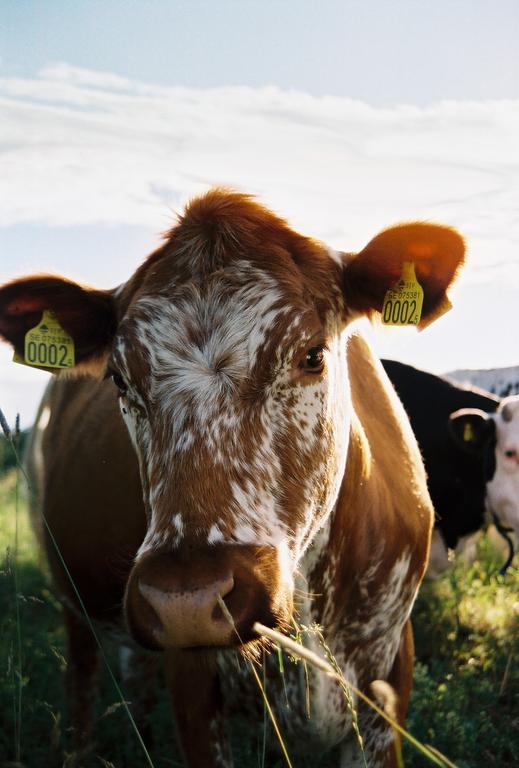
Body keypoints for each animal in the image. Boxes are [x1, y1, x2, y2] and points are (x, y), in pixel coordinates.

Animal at [0, 189, 465, 767]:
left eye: (312, 355)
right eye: (119, 378)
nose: (187, 600)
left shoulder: (388, 681)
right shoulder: (195, 688)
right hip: (72, 599)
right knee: (82, 680)